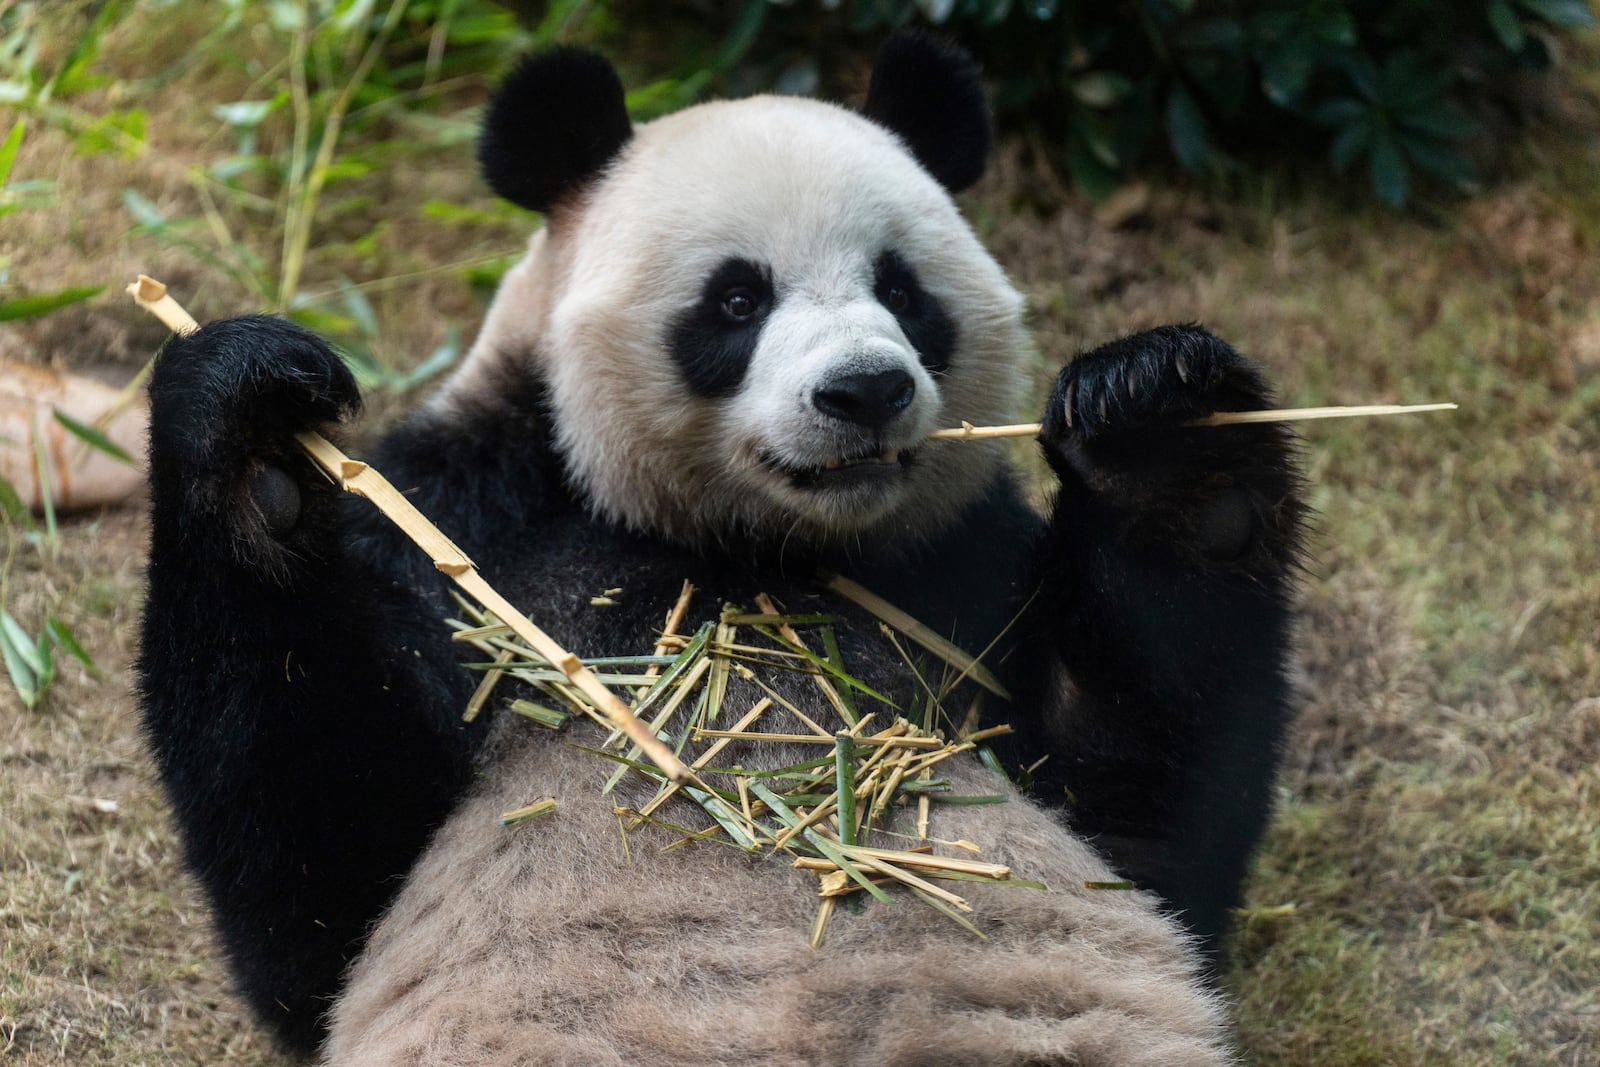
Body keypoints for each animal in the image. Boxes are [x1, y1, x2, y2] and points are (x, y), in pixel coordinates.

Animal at [140, 33, 1299, 1067]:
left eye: (903, 288)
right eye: (738, 298)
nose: (865, 391)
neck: (747, 549)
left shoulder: (965, 560)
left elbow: (1142, 818)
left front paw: (1164, 432)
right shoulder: (469, 524)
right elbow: (322, 880)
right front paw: (258, 440)